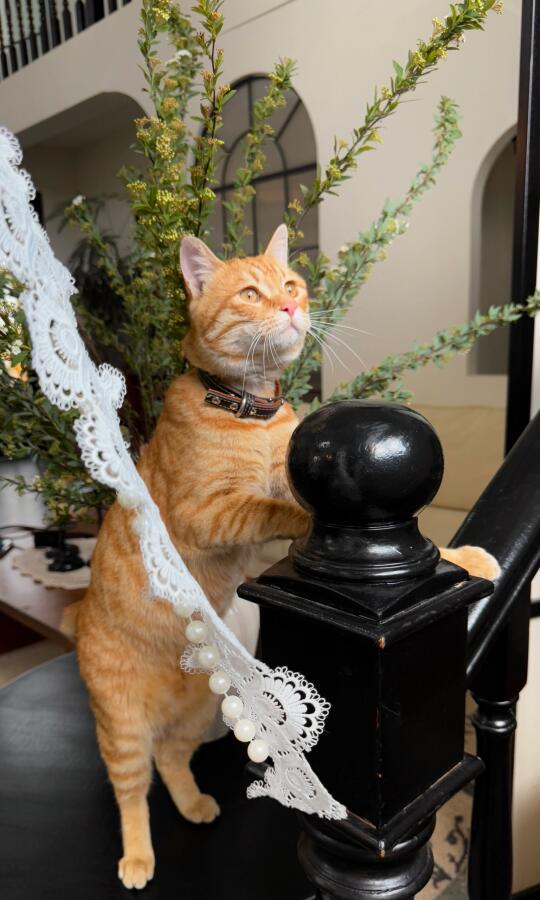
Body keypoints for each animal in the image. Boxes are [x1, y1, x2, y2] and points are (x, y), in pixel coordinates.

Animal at [72, 224, 499, 890]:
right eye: (251, 293)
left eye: (292, 285)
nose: (292, 308)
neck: (252, 413)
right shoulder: (207, 517)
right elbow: (285, 512)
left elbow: (428, 551)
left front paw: (468, 559)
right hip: (120, 728)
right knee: (131, 791)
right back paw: (138, 857)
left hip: (196, 714)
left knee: (169, 758)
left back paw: (193, 803)